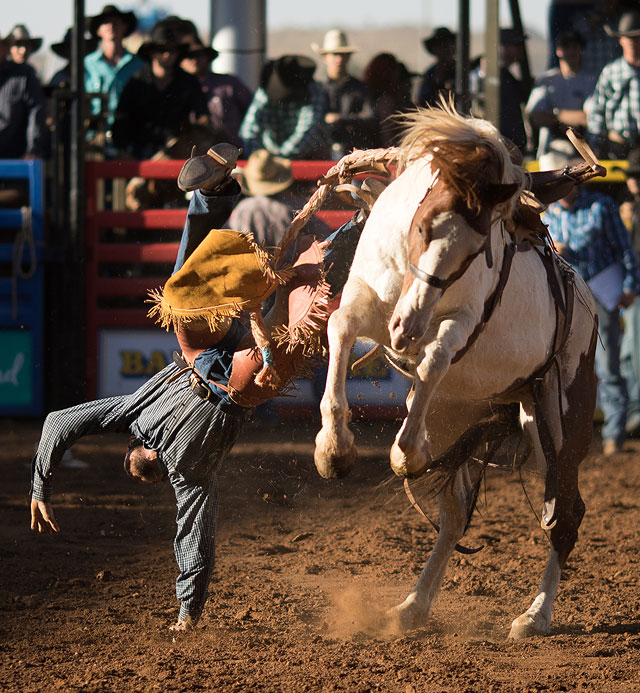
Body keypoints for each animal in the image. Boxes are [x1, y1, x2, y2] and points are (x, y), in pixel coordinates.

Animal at [316, 105, 600, 640]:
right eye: (422, 227)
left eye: (478, 250)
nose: (407, 326)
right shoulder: (365, 296)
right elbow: (340, 329)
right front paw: (334, 449)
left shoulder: (461, 322)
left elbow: (434, 360)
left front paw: (404, 452)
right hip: (459, 413)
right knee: (453, 517)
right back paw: (412, 606)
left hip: (559, 422)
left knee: (567, 512)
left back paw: (535, 615)